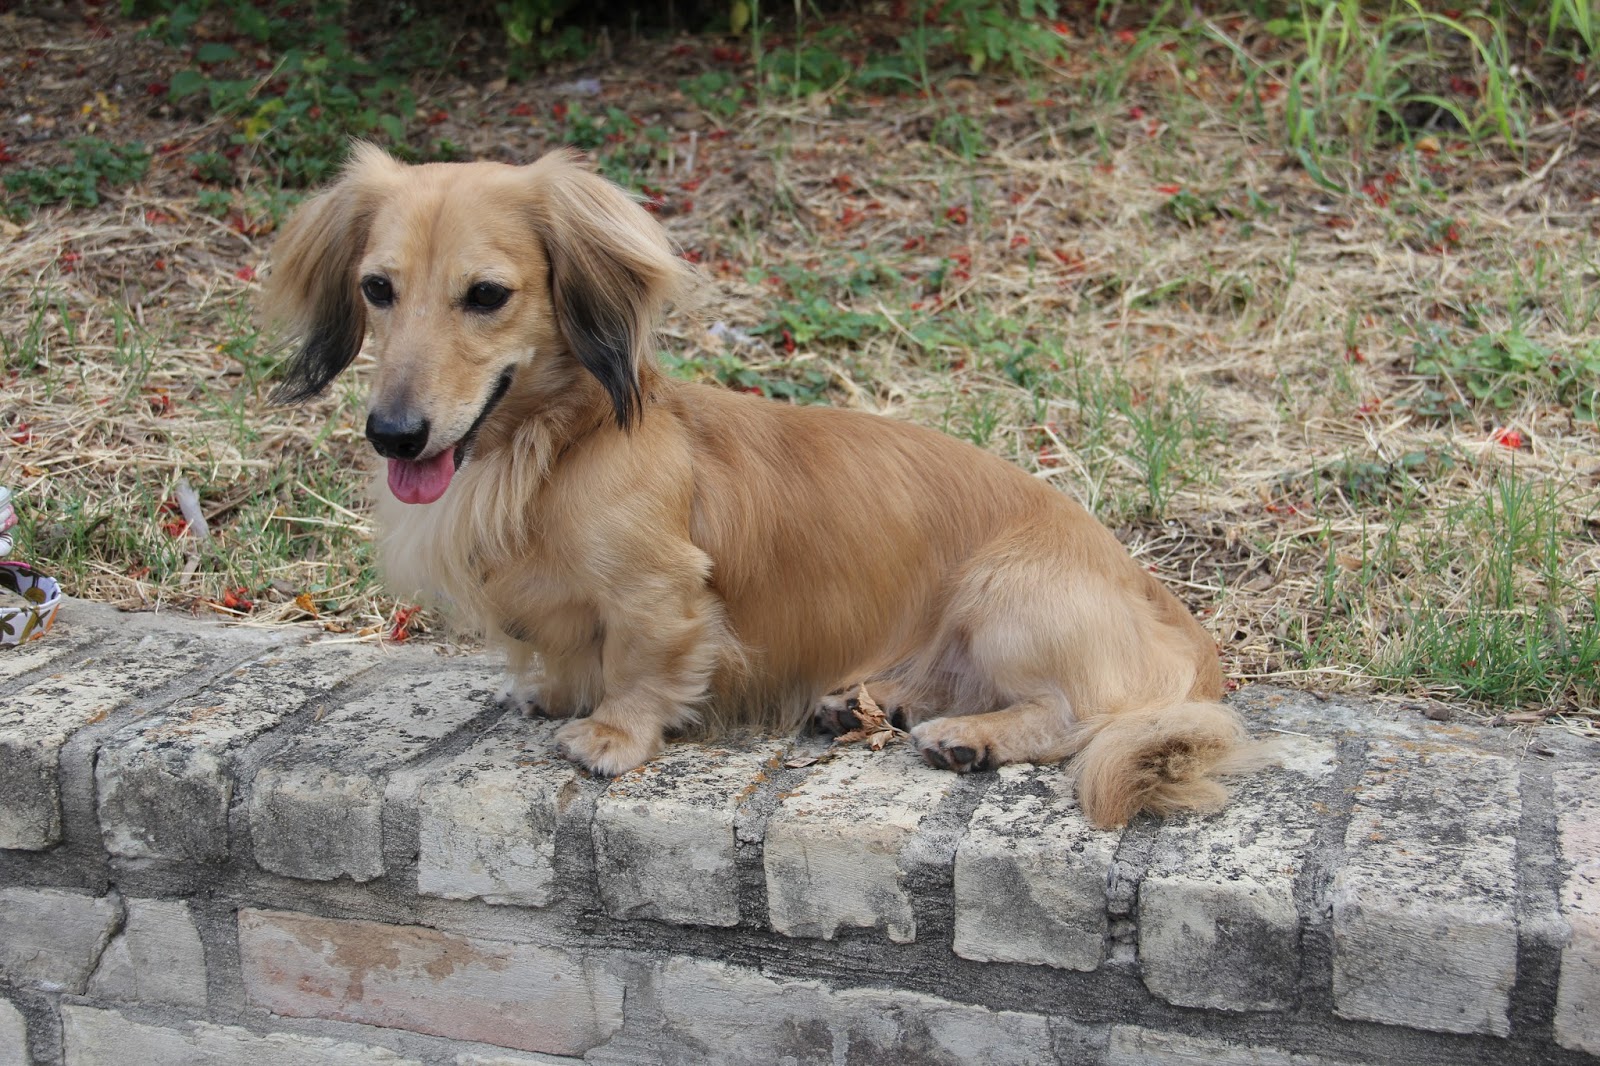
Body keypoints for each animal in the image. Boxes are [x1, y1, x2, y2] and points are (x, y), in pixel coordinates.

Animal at [263, 143, 1263, 828]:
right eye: (378, 288)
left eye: (486, 295)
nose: (393, 433)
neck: (552, 448)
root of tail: (1179, 623)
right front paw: (556, 689)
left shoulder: (661, 592)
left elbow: (642, 665)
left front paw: (609, 736)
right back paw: (872, 704)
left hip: (1004, 597)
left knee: (1073, 716)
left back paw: (968, 738)